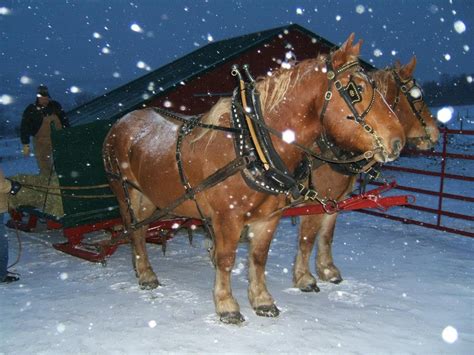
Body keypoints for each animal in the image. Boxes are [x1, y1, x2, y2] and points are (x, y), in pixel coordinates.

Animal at [103, 34, 404, 326]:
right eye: (356, 90)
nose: (397, 141)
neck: (253, 145)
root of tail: (120, 123)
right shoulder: (227, 219)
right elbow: (226, 259)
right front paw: (227, 306)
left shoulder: (269, 217)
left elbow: (259, 258)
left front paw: (262, 301)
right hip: (127, 193)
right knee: (135, 231)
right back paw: (146, 275)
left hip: (150, 198)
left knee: (141, 229)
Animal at [292, 56, 440, 292]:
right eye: (416, 97)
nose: (435, 134)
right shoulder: (316, 200)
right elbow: (307, 238)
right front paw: (304, 278)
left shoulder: (334, 201)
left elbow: (327, 235)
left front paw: (328, 271)